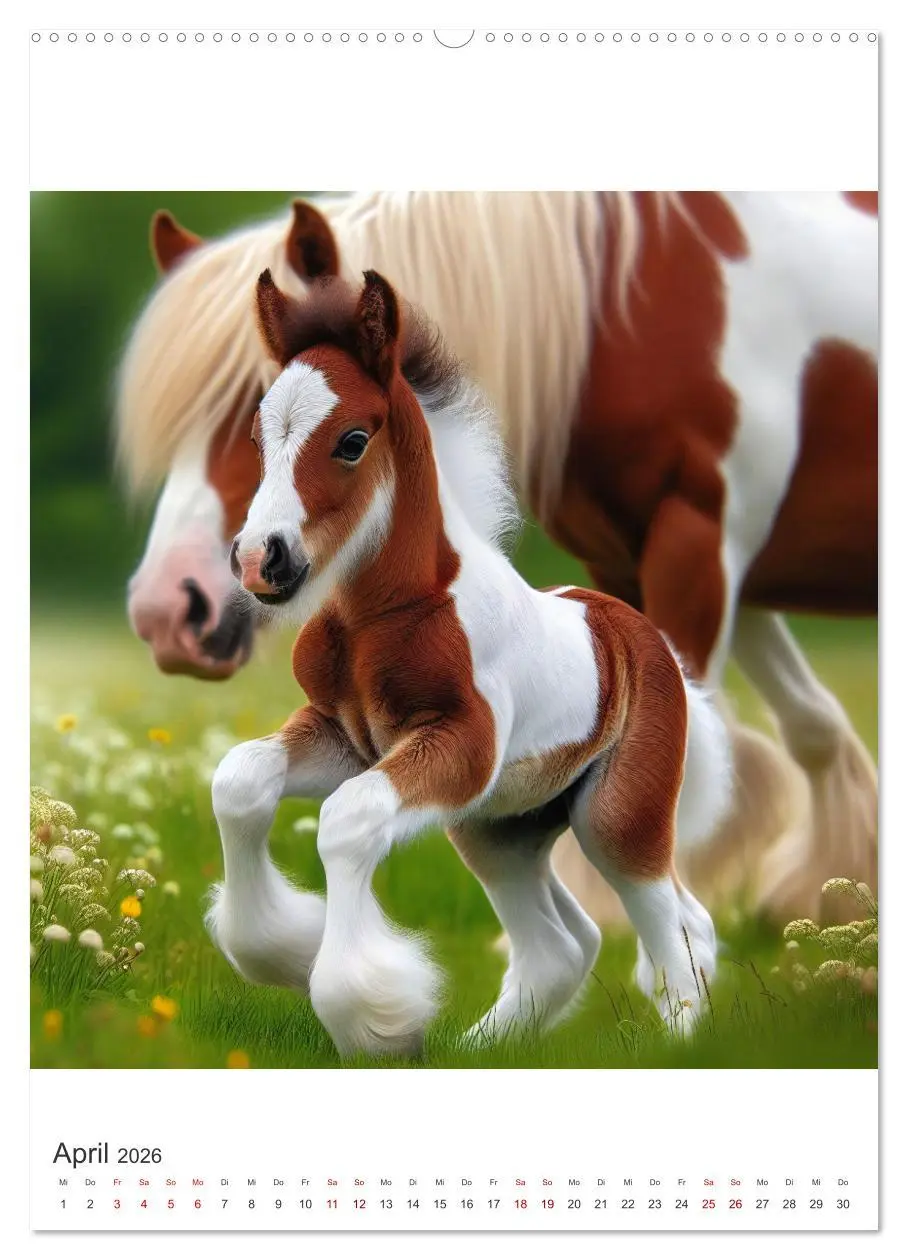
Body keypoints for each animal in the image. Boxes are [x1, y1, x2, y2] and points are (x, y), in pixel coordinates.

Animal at [117, 191, 878, 925]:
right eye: (259, 432)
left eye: (351, 440)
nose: (169, 611)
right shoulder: (636, 561)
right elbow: (807, 723)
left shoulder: (698, 539)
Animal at [205, 267, 733, 1058]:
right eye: (260, 436)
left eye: (352, 441)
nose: (257, 559)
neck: (383, 615)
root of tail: (638, 632)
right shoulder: (348, 738)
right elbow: (239, 780)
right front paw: (287, 952)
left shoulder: (460, 743)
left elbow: (347, 819)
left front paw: (370, 1015)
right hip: (500, 829)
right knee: (565, 944)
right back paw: (480, 1049)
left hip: (614, 813)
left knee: (666, 918)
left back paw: (676, 1045)